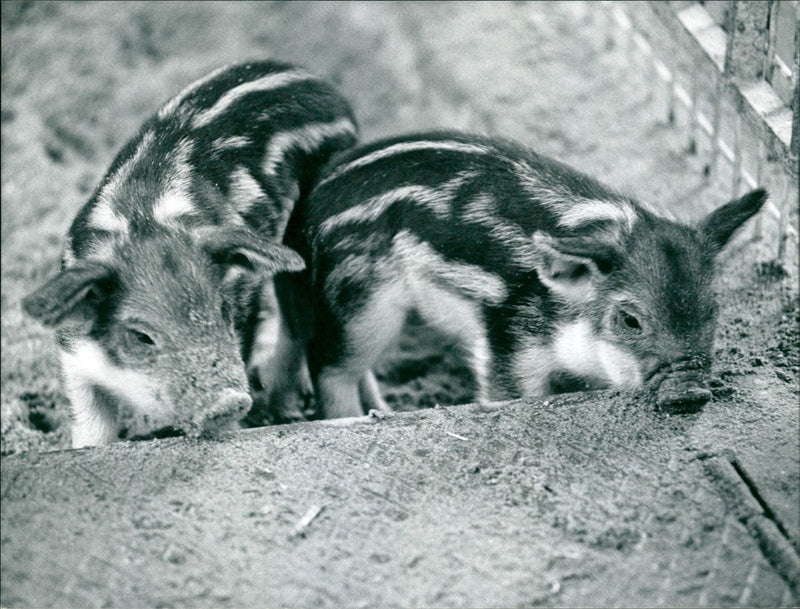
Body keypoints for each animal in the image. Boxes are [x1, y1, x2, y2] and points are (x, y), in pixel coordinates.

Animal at [22, 61, 358, 447]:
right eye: (141, 336)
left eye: (223, 311)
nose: (228, 401)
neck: (143, 222)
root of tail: (312, 79)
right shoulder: (74, 354)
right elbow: (92, 426)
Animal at [283, 131, 767, 418]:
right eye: (630, 319)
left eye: (712, 309)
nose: (691, 390)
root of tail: (317, 195)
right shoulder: (508, 342)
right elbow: (513, 395)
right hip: (361, 301)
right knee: (330, 367)